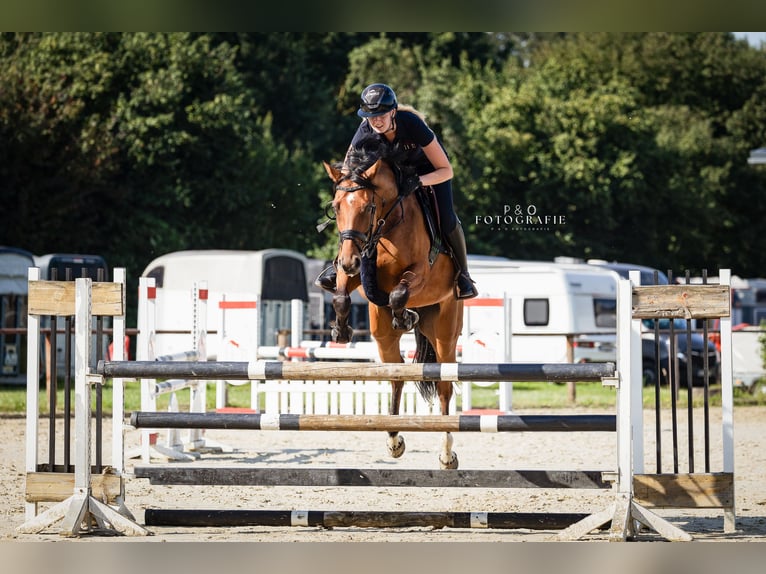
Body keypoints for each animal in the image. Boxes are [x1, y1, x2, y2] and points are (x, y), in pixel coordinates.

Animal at [322, 138, 462, 472]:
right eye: (336, 207)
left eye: (368, 207)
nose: (349, 261)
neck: (385, 227)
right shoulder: (356, 272)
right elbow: (341, 295)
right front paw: (341, 331)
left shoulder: (420, 272)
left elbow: (399, 292)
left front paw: (405, 315)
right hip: (382, 334)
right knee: (396, 373)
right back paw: (394, 439)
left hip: (446, 329)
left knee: (444, 386)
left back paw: (446, 454)